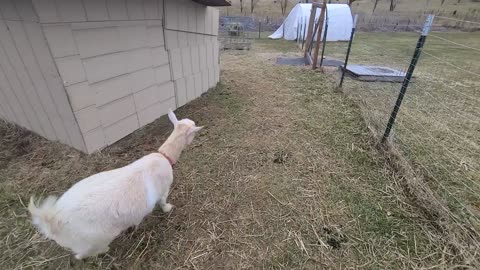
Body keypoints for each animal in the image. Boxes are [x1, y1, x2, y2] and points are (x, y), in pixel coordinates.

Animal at [28, 110, 201, 260]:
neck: (164, 156)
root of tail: (53, 217)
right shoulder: (164, 188)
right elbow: (163, 201)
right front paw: (167, 208)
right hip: (94, 238)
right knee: (82, 254)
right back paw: (104, 250)